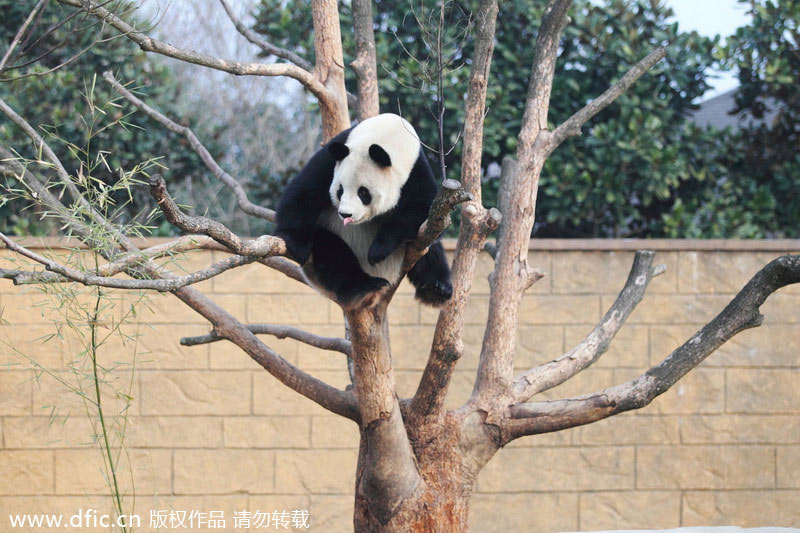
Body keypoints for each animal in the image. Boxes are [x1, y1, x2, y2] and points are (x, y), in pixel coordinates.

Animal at [276, 114, 454, 310]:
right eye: (340, 190)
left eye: (363, 193)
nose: (345, 215)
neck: (389, 134)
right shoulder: (333, 157)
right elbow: (305, 191)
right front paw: (295, 241)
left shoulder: (416, 170)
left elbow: (425, 210)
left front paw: (379, 249)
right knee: (331, 250)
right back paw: (365, 287)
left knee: (432, 249)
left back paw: (436, 288)